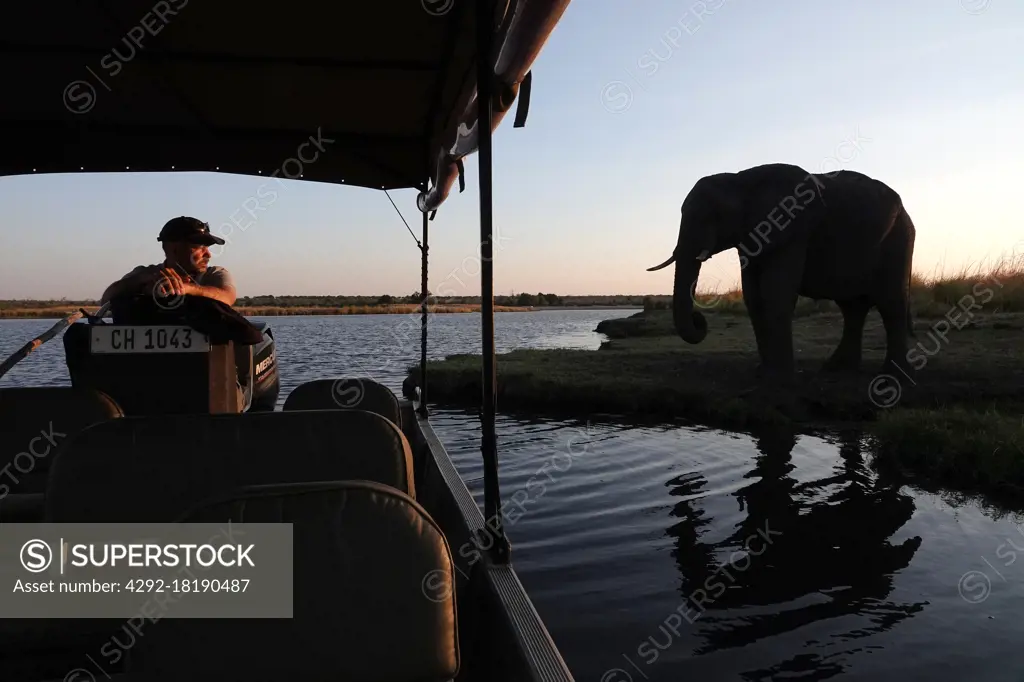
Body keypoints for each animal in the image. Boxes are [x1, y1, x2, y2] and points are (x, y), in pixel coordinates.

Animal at [643, 162, 917, 378]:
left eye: (711, 216)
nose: (699, 320)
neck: (740, 181)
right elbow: (754, 297)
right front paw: (763, 372)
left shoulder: (791, 230)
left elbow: (775, 294)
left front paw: (777, 377)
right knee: (852, 308)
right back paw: (837, 369)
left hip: (898, 240)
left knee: (890, 303)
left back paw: (894, 374)